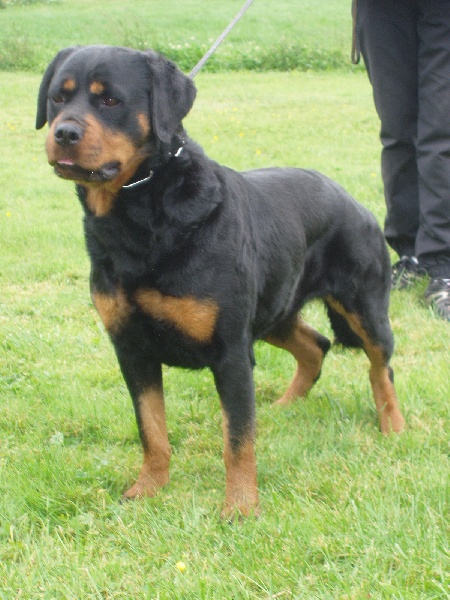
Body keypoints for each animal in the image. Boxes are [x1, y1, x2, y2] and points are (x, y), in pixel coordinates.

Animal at [37, 45, 406, 516]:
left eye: (110, 100)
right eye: (57, 98)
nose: (64, 132)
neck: (142, 213)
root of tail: (354, 201)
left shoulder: (230, 351)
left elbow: (238, 439)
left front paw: (241, 508)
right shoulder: (132, 348)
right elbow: (151, 429)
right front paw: (148, 488)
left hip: (364, 304)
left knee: (381, 366)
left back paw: (392, 424)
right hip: (274, 308)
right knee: (316, 345)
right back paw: (285, 405)